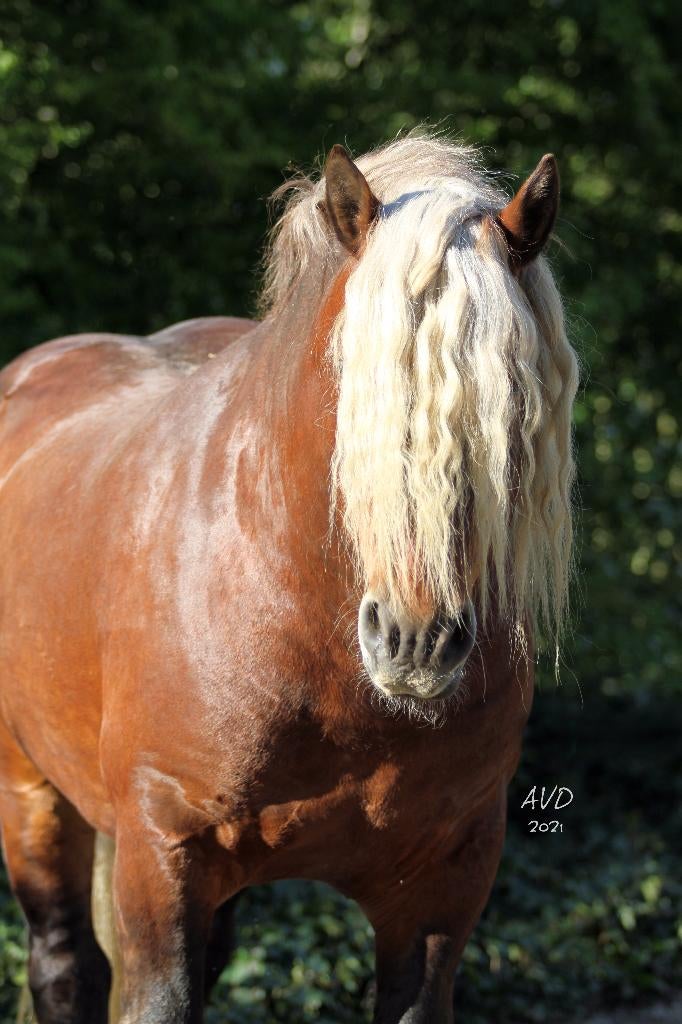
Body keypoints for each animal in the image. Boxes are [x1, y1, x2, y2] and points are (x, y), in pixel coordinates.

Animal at [0, 132, 578, 1023]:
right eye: (350, 384)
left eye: (511, 397)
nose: (415, 643)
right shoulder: (161, 860)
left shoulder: (442, 888)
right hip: (30, 797)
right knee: (64, 965)